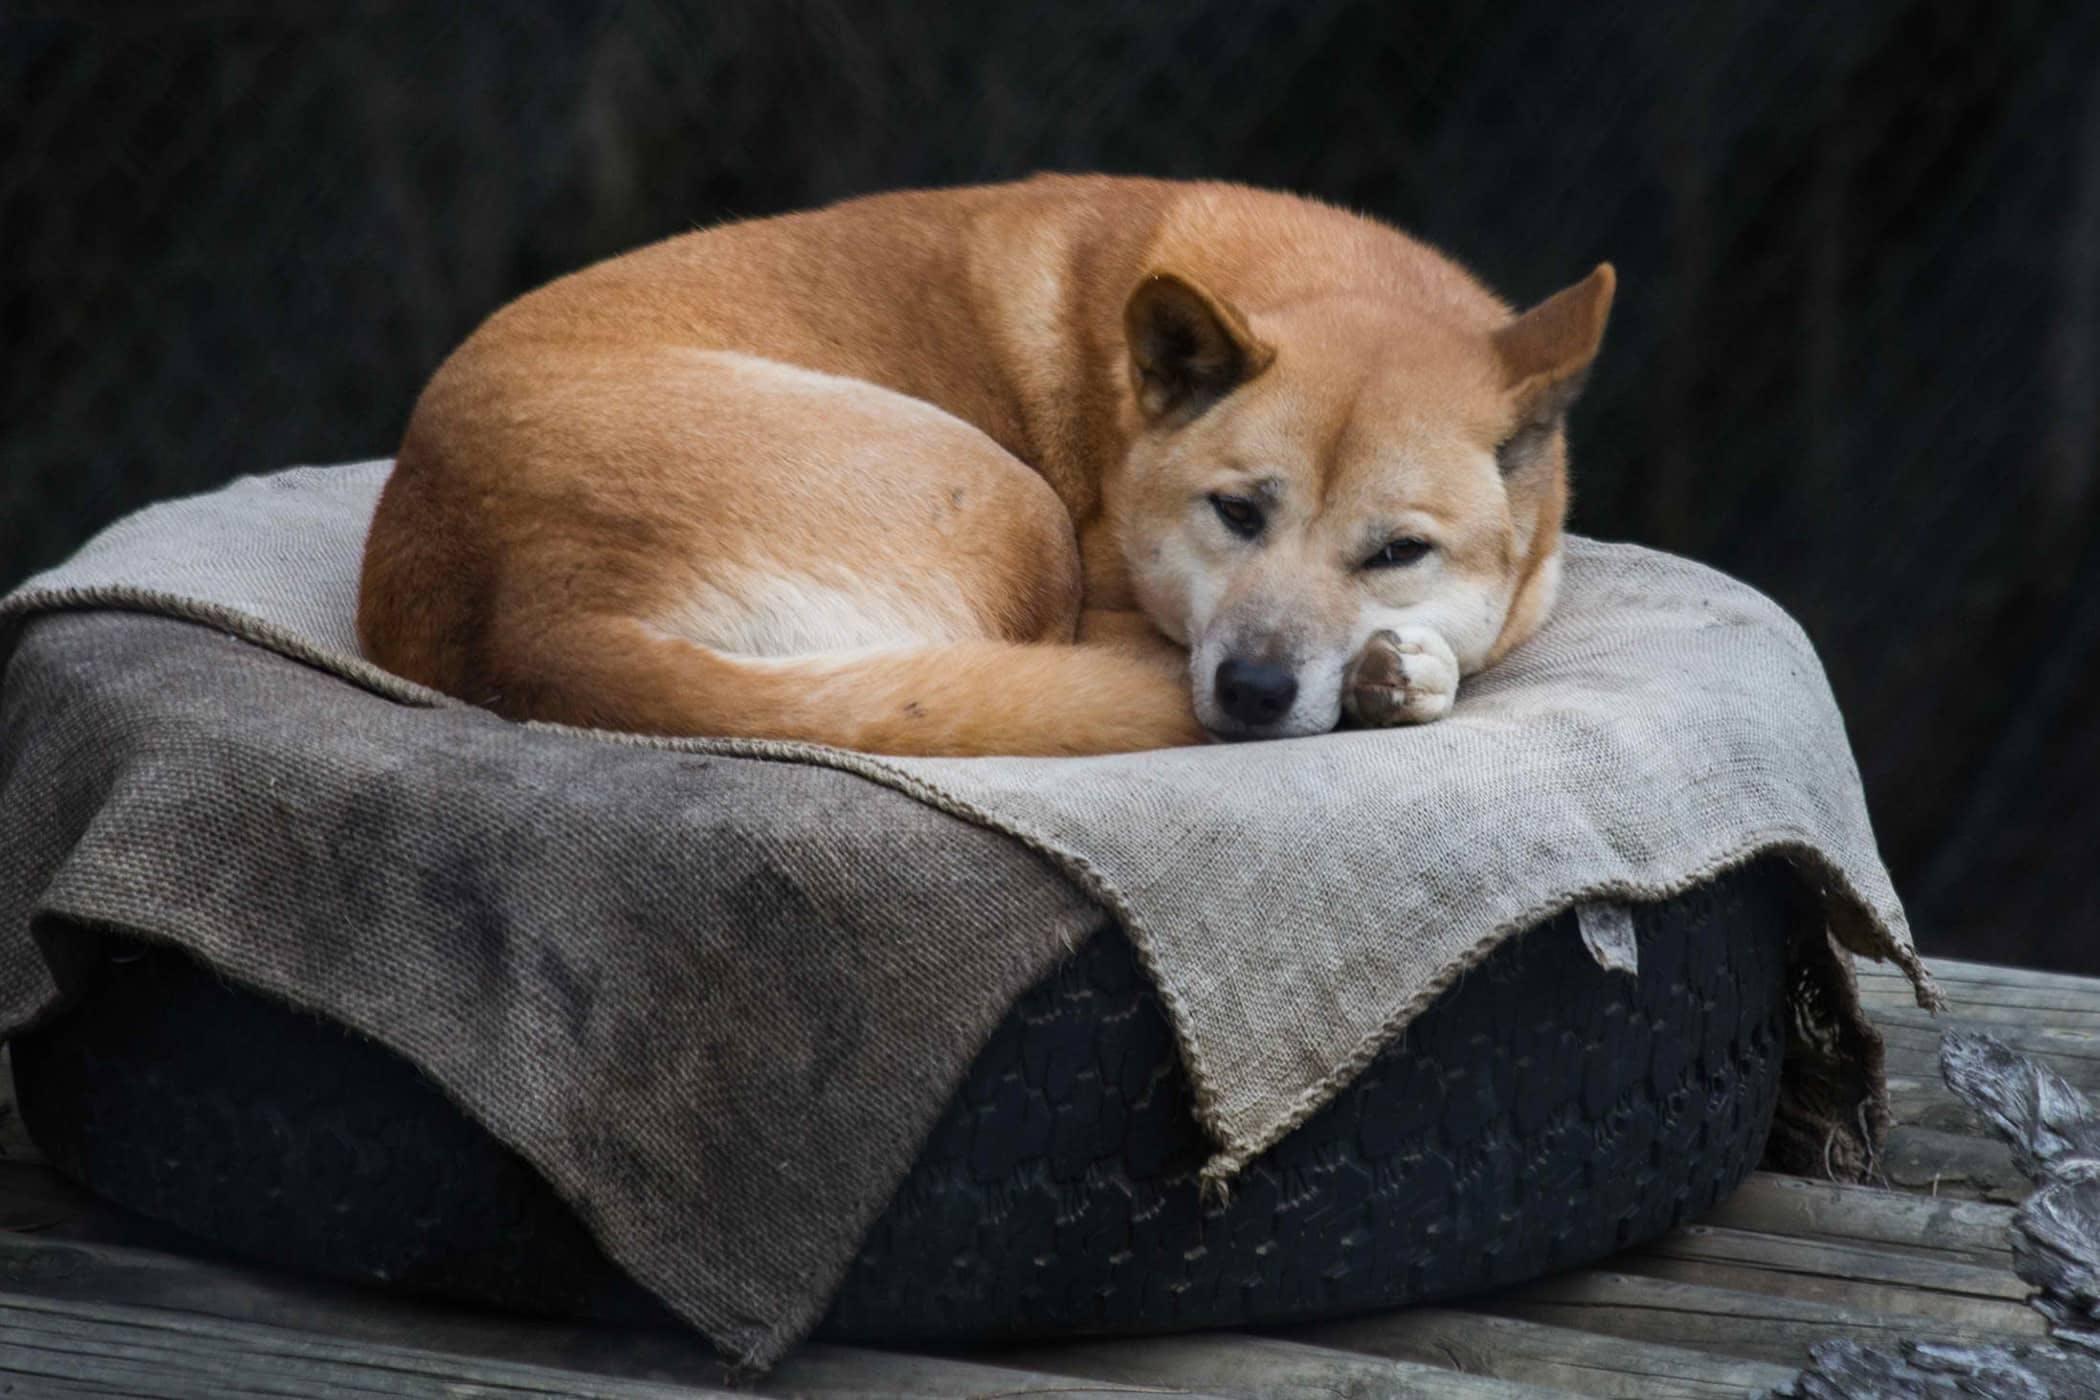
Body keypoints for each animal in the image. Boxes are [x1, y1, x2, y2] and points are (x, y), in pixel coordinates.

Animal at [361, 183, 1604, 768]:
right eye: (1236, 512)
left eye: (1398, 551)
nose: (1252, 691)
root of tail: (532, 619)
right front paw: (1403, 674)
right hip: (1012, 507)